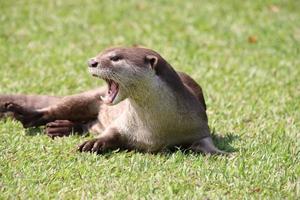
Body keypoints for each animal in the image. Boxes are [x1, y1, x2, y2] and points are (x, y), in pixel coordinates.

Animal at [0, 47, 225, 155]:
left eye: (115, 58)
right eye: (101, 53)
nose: (91, 61)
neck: (156, 127)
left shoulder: (198, 125)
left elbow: (205, 143)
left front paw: (222, 153)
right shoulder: (123, 123)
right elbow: (112, 133)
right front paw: (93, 144)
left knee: (87, 124)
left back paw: (60, 128)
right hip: (84, 98)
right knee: (54, 110)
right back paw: (25, 114)